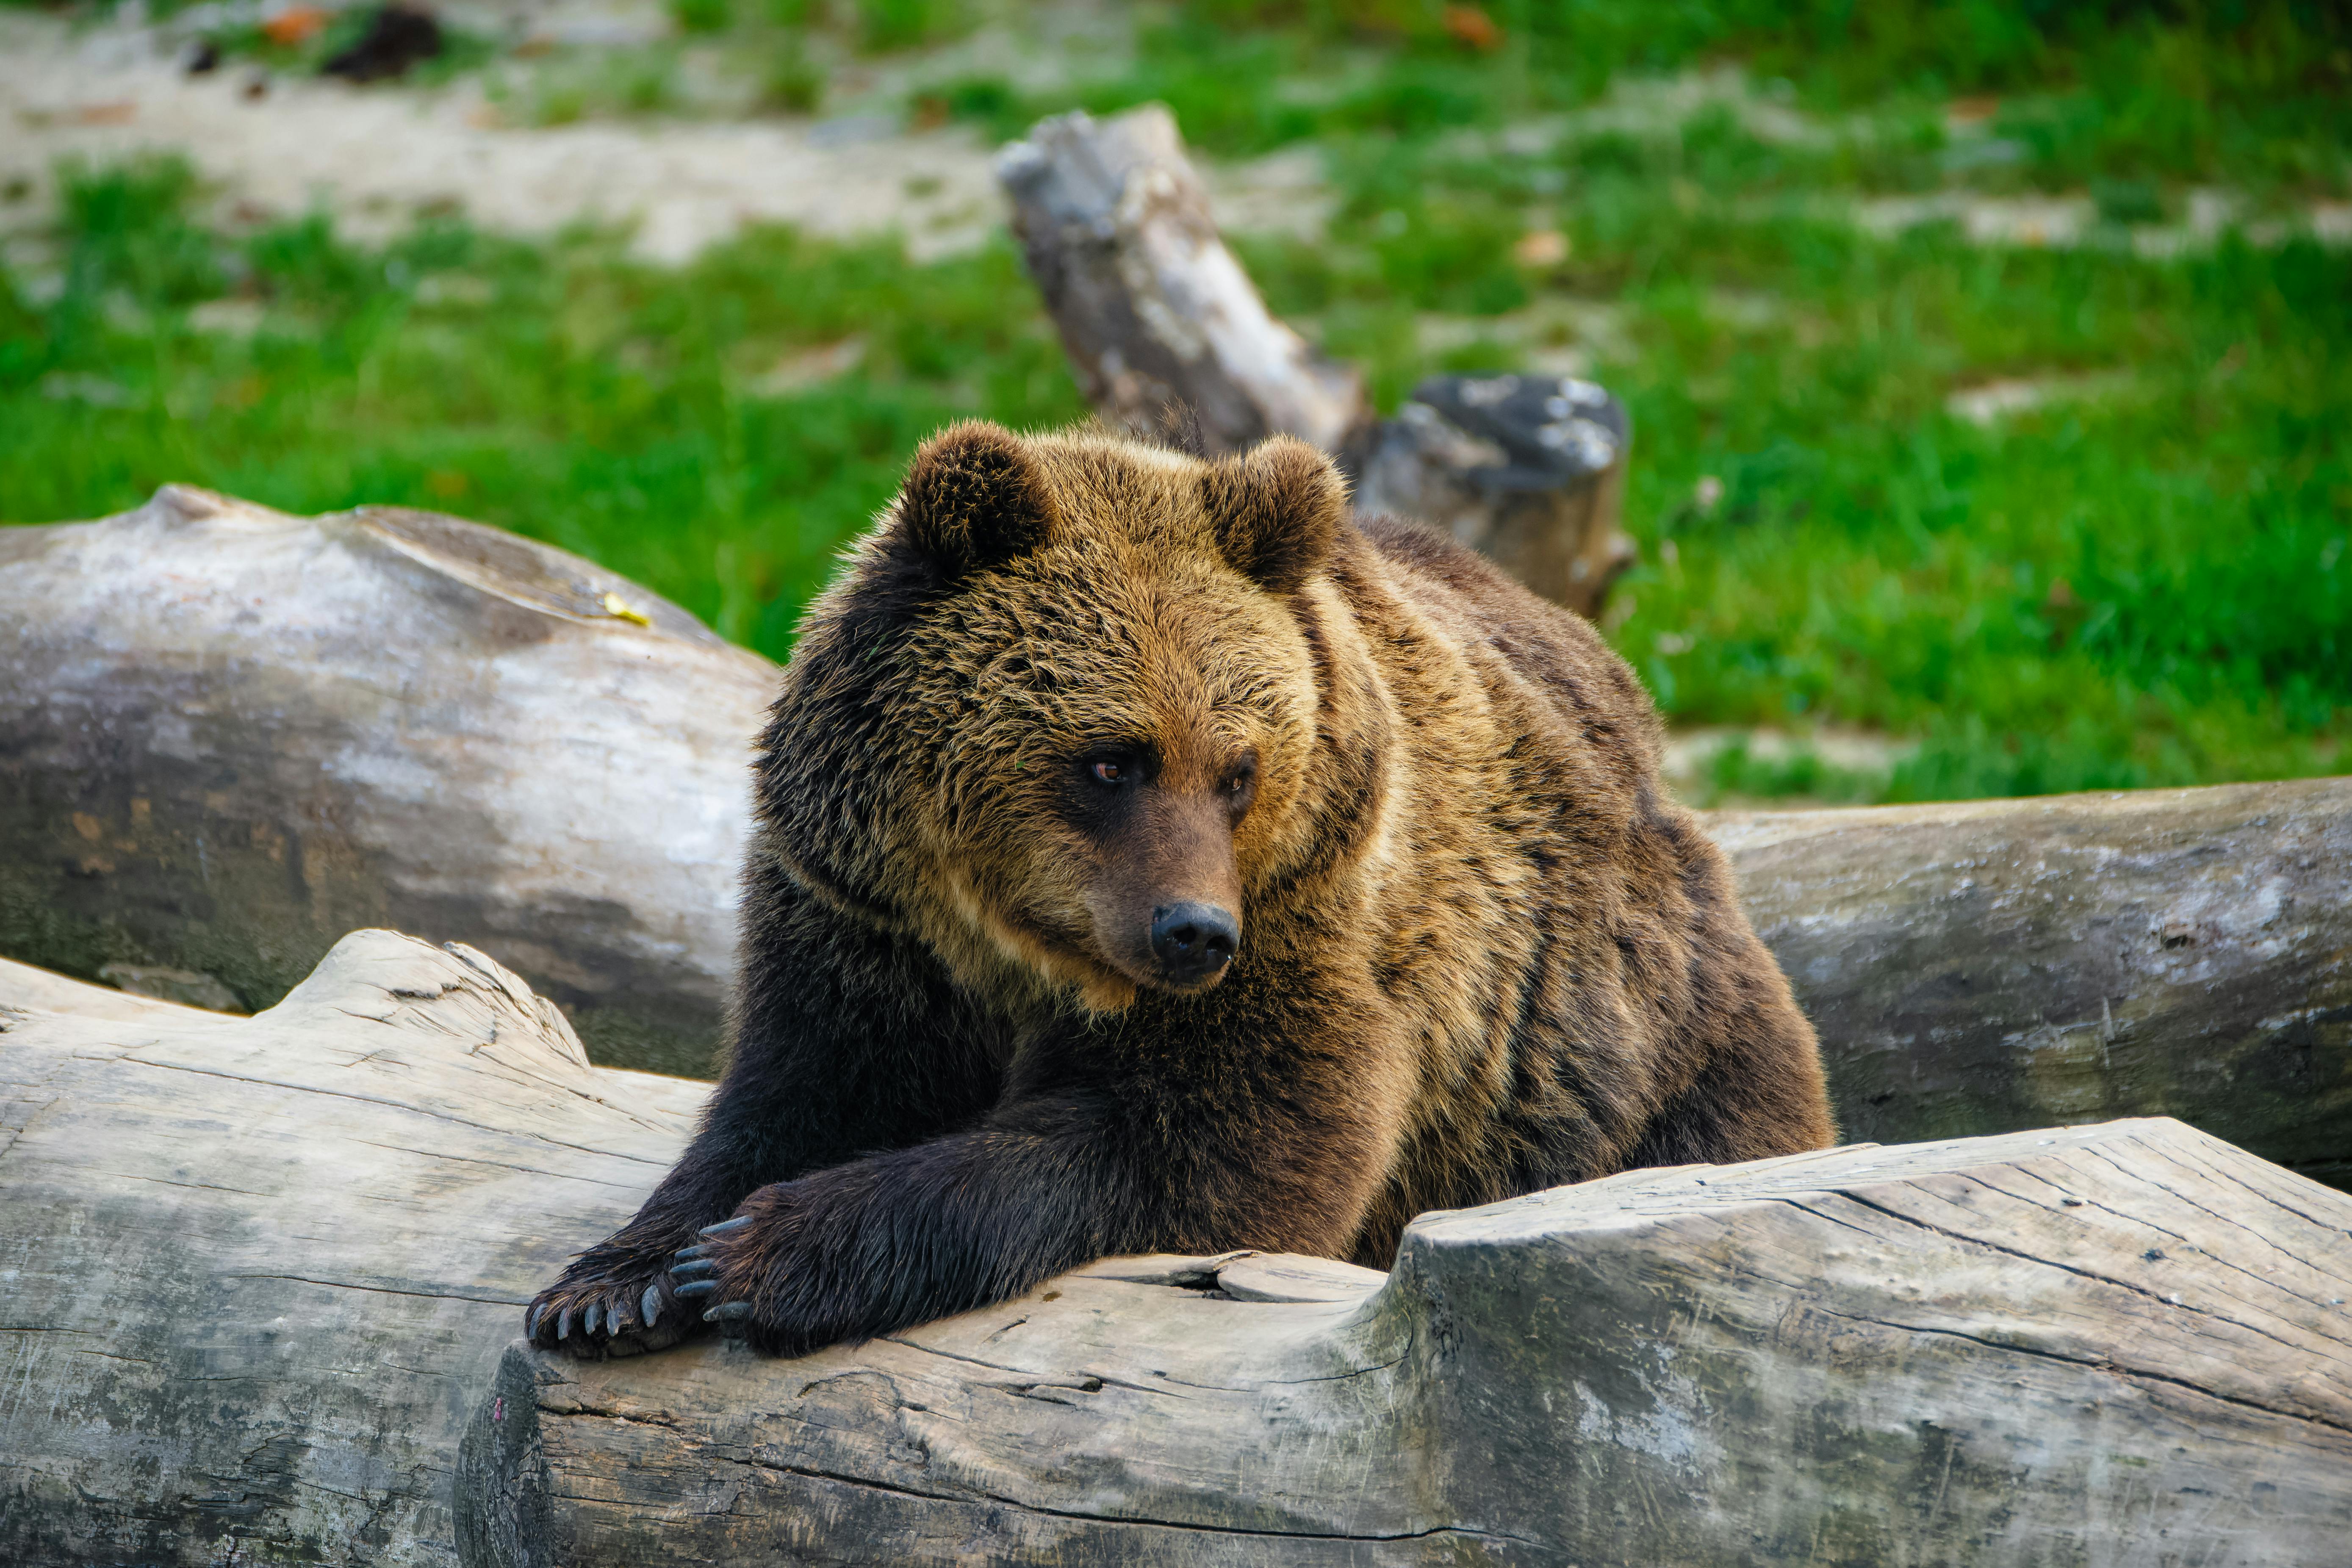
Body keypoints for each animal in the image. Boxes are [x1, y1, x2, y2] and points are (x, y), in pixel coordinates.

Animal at [524, 421, 1825, 1363]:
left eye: (1238, 768)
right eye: (1112, 758)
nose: (1193, 929)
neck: (1018, 945)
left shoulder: (1313, 921)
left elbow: (1212, 1146)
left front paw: (770, 1251)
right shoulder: (863, 920)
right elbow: (792, 1088)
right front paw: (616, 1282)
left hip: (1622, 1051)